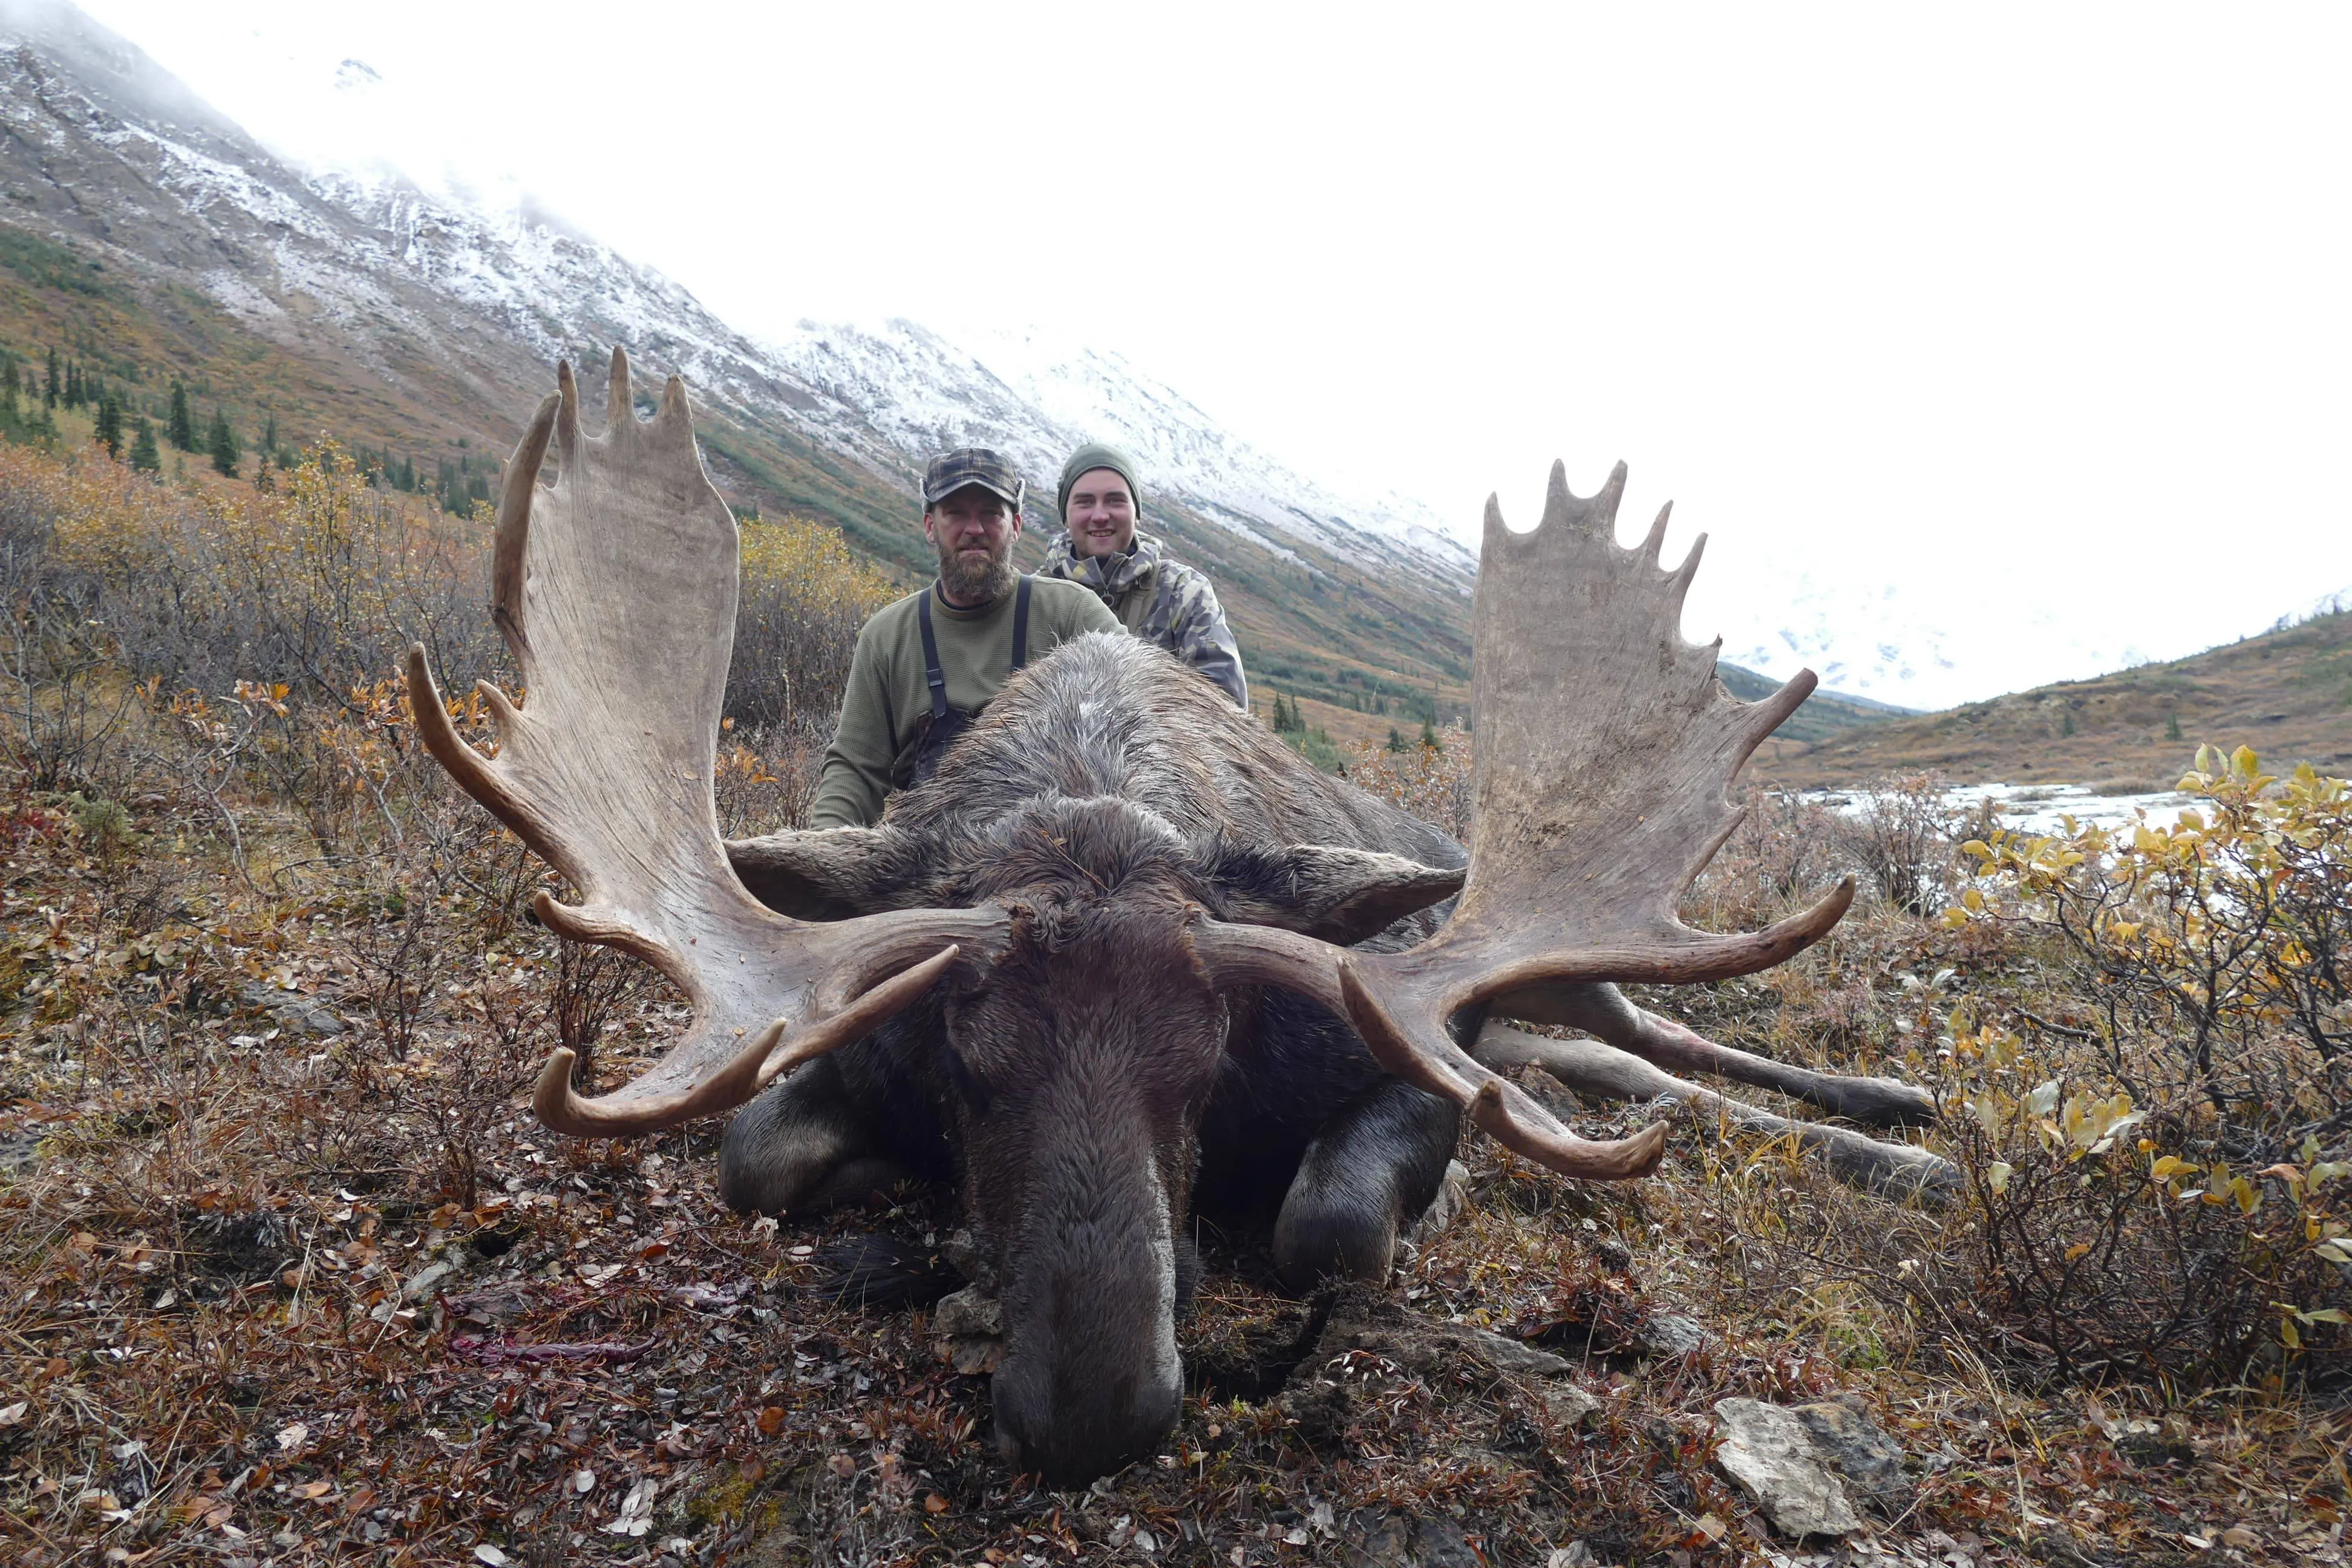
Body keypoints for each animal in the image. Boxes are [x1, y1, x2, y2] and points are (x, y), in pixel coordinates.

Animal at [405, 350, 1950, 1484]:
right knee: (1604, 1073)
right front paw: (922, 1240)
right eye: (965, 1066)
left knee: (1663, 1046)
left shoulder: (1397, 1046)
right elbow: (760, 1160)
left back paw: (1907, 1120)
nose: (1093, 1417)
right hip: (1525, 1022)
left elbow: (1334, 1221)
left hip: (1561, 976)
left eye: (1209, 1060)